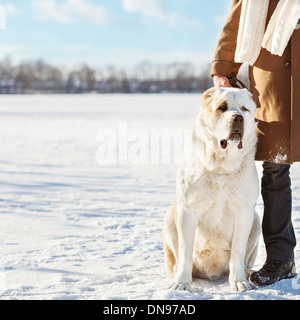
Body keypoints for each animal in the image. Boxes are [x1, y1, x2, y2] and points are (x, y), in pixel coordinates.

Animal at [164, 86, 260, 292]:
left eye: (244, 109)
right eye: (222, 107)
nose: (237, 118)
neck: (221, 168)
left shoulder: (244, 213)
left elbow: (238, 252)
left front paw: (239, 281)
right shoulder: (187, 211)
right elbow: (185, 251)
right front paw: (182, 283)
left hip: (256, 220)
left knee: (245, 260)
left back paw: (249, 274)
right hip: (169, 219)